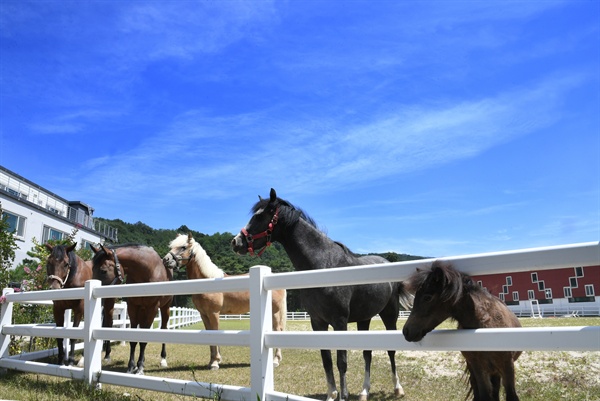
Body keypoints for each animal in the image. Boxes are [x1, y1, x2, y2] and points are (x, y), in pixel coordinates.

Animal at [91, 244, 173, 376]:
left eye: (103, 271)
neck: (147, 272)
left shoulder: (152, 308)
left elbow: (143, 340)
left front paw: (140, 368)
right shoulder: (133, 307)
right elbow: (134, 339)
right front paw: (131, 366)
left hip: (165, 308)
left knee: (164, 328)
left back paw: (163, 359)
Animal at [163, 233, 288, 370]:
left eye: (183, 247)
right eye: (172, 246)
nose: (165, 260)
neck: (207, 281)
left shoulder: (214, 313)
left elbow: (215, 333)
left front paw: (215, 362)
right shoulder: (204, 314)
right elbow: (209, 334)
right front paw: (212, 361)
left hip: (275, 311)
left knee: (278, 330)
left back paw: (276, 360)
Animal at [232, 188, 414, 400]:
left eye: (260, 216)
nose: (236, 242)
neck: (323, 265)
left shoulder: (340, 322)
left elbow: (341, 361)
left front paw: (343, 395)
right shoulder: (318, 322)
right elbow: (326, 359)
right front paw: (332, 394)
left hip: (389, 314)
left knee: (391, 351)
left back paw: (397, 388)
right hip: (364, 319)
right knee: (367, 353)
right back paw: (364, 391)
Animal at [400, 260, 524, 398]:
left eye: (427, 297)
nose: (406, 331)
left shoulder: (507, 366)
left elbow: (511, 395)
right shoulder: (479, 368)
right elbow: (484, 394)